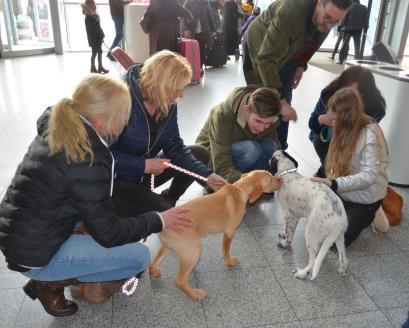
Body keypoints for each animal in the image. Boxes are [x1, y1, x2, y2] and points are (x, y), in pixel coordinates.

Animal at [268, 150, 348, 280]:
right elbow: (290, 233)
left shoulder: (286, 212)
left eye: (271, 158)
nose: (268, 159)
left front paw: (283, 239)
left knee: (313, 261)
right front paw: (285, 241)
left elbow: (286, 228)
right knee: (343, 257)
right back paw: (343, 270)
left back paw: (302, 273)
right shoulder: (295, 216)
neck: (288, 172)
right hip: (339, 237)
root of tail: (339, 222)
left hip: (310, 232)